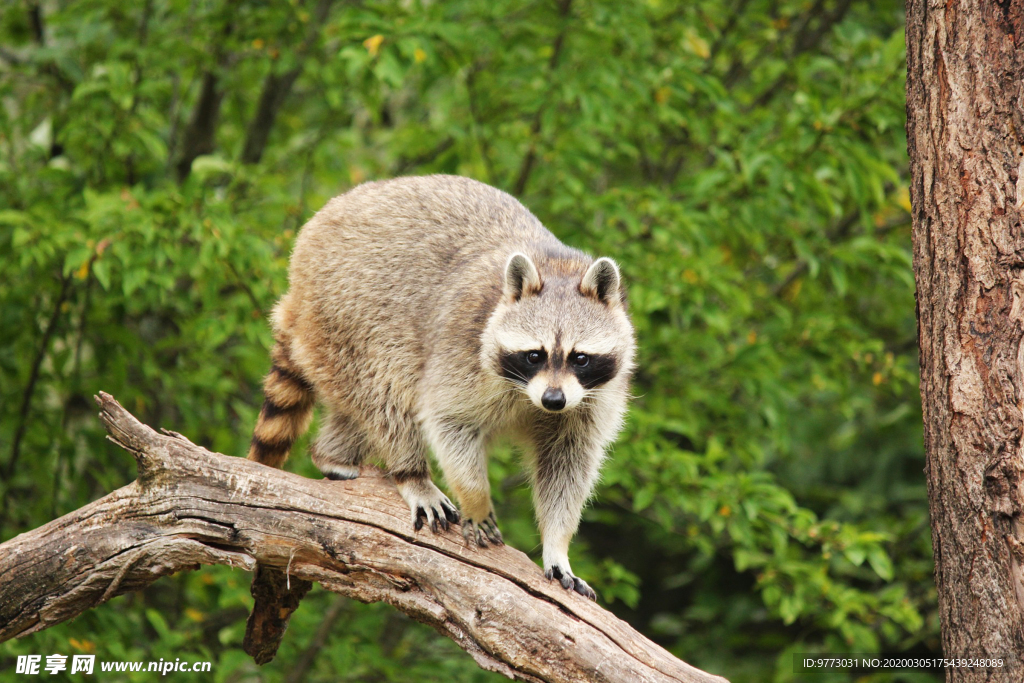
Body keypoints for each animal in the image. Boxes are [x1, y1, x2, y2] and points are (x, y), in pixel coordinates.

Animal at [247, 175, 630, 598]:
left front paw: (557, 544)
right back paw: (410, 473)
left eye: (580, 358)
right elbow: (448, 420)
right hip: (348, 311)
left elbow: (568, 463)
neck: (557, 265)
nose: (554, 400)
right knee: (388, 391)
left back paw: (333, 454)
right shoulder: (462, 345)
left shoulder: (593, 397)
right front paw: (476, 498)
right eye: (535, 355)